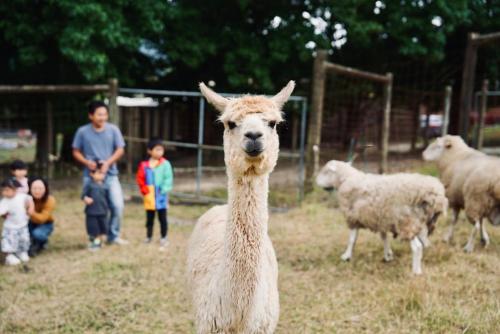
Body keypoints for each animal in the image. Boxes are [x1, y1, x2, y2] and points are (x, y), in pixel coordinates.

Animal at [314, 161, 448, 274]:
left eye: (325, 171)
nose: (316, 182)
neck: (347, 179)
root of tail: (433, 193)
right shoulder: (381, 219)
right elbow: (384, 238)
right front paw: (388, 255)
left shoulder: (353, 218)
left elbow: (352, 240)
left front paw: (346, 256)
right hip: (419, 223)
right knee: (425, 243)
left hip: (406, 222)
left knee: (417, 247)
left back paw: (416, 271)